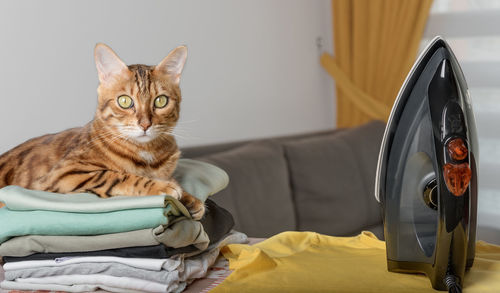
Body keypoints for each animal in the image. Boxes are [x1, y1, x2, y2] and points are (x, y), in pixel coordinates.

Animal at [0, 42, 205, 218]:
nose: (145, 124)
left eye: (161, 101)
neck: (147, 155)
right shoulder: (62, 174)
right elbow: (117, 176)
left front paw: (189, 198)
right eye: (125, 101)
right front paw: (163, 187)